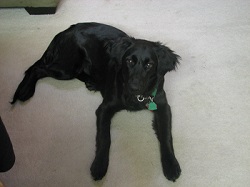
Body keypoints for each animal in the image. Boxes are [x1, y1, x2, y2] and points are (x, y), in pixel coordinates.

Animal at [10, 21, 181, 181]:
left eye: (150, 65)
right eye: (129, 61)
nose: (133, 87)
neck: (137, 97)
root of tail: (67, 30)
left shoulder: (163, 106)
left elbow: (167, 136)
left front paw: (171, 164)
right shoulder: (104, 108)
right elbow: (104, 138)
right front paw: (99, 165)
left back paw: (93, 82)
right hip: (67, 68)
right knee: (37, 68)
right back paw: (25, 91)